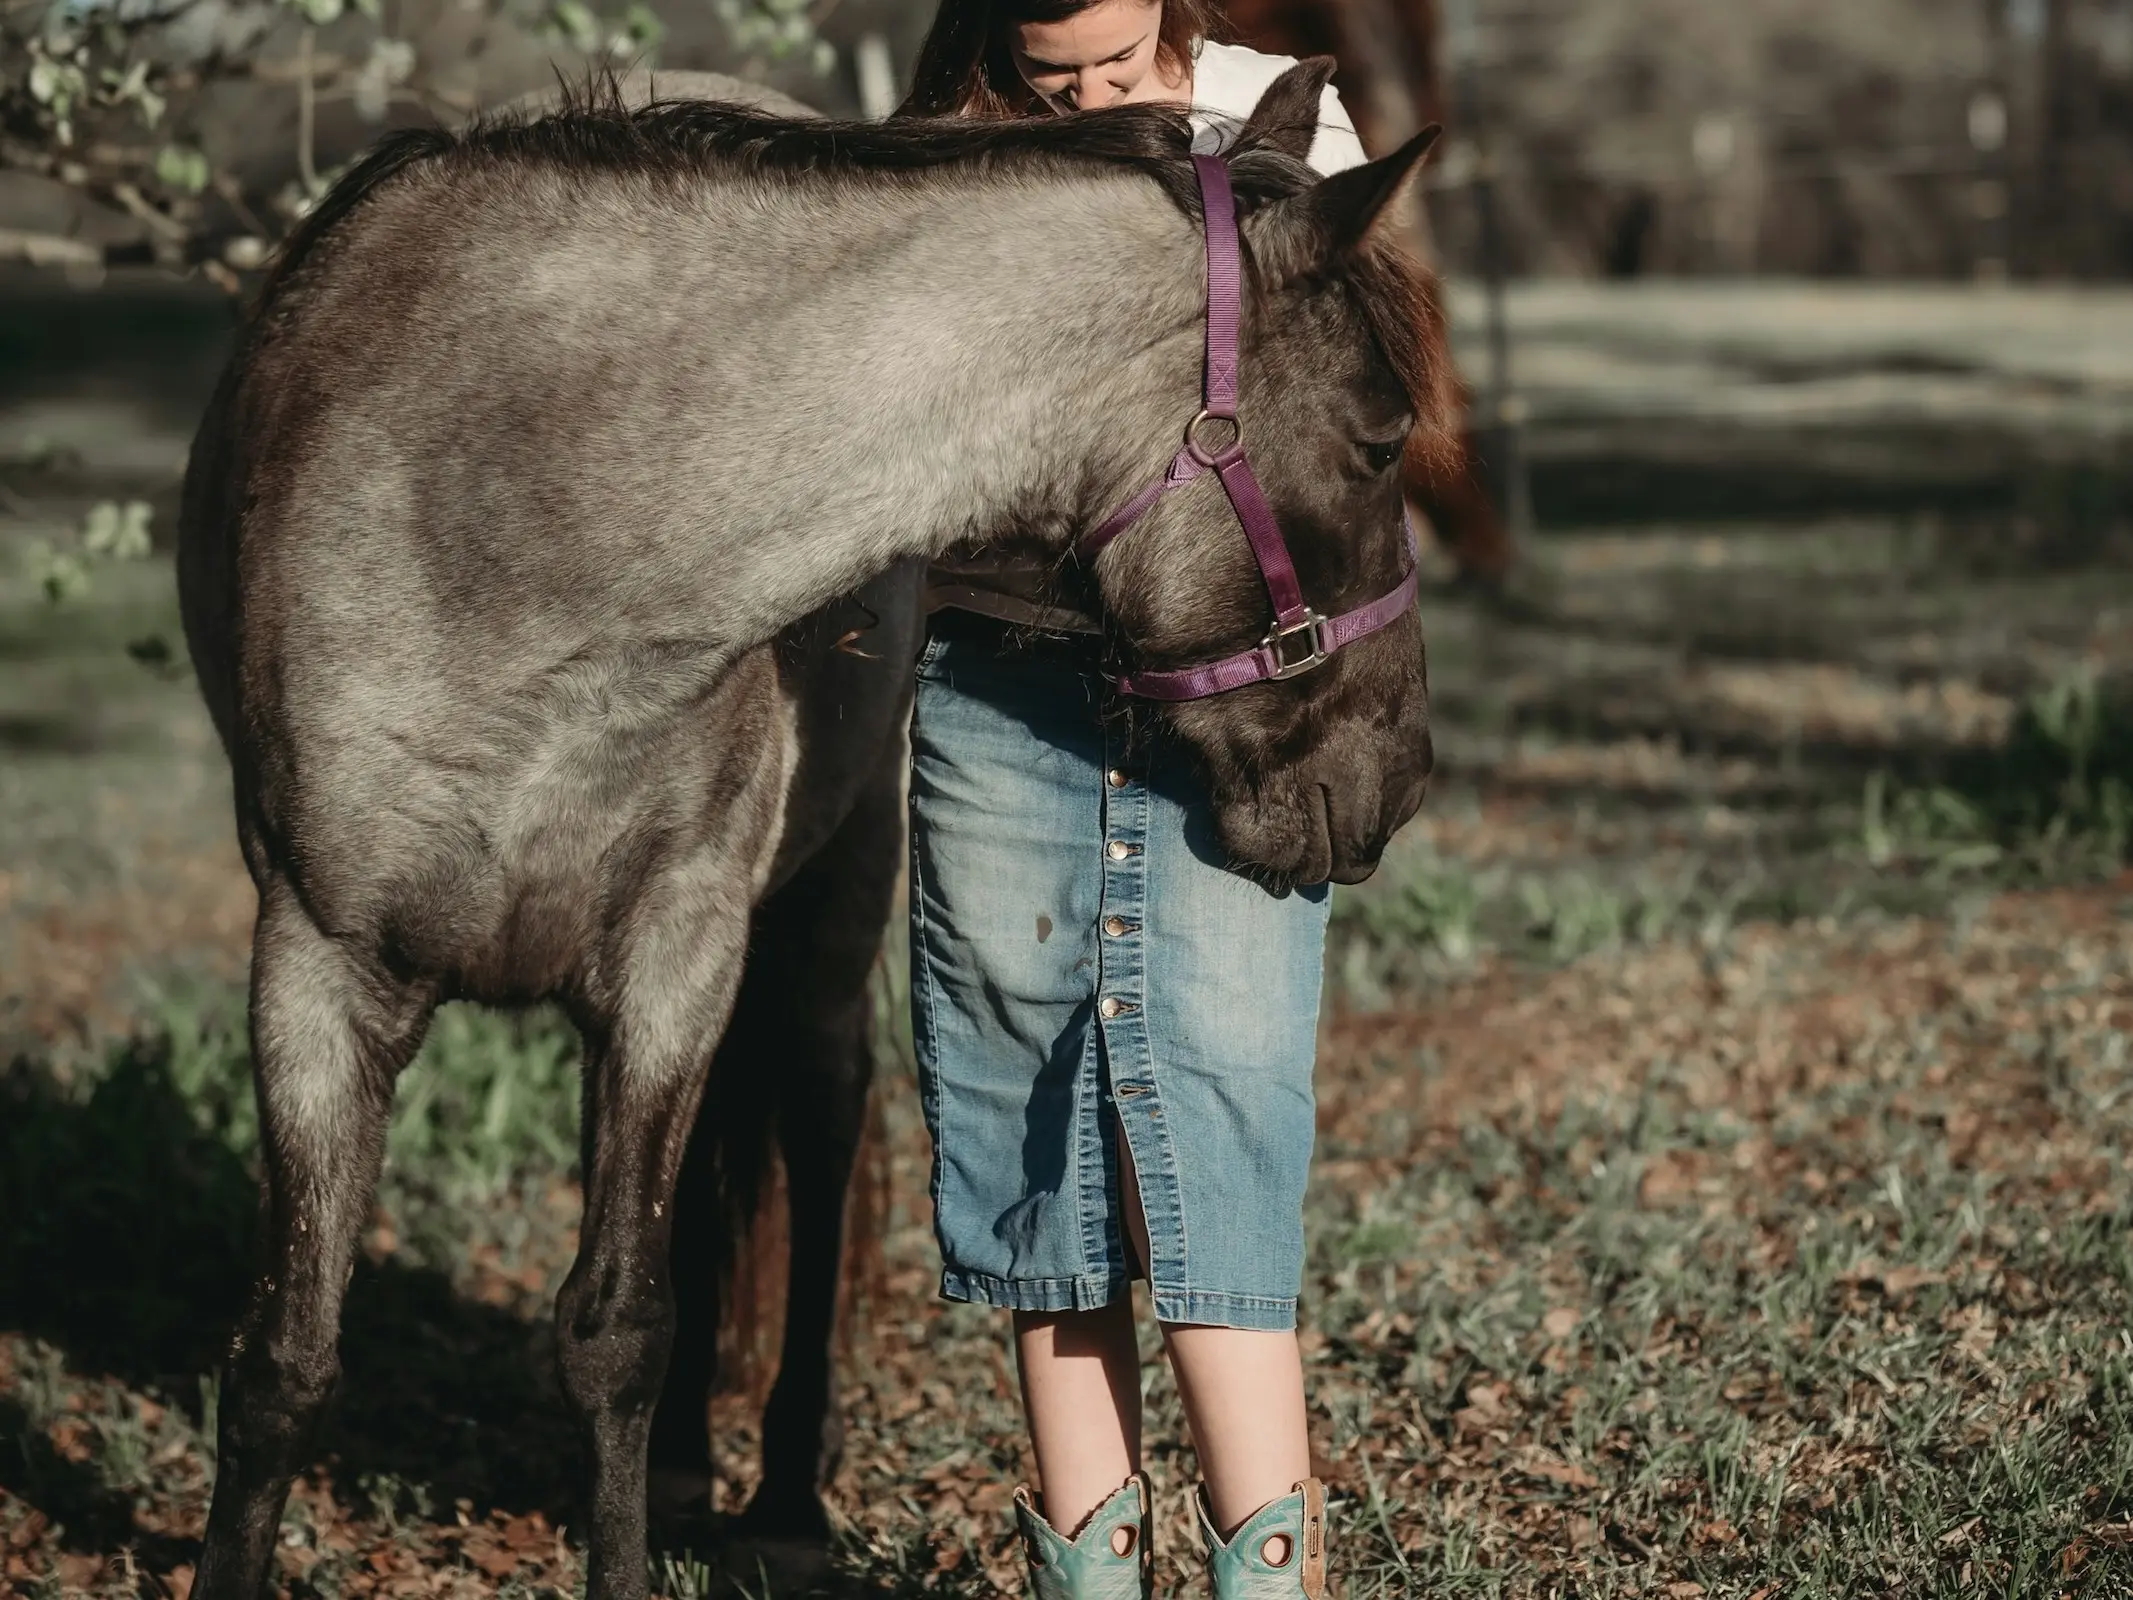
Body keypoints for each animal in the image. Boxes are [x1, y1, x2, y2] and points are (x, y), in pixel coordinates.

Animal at [179, 56, 1450, 1600]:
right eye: (1379, 440)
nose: (1399, 776)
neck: (508, 508)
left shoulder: (674, 954)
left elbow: (616, 1325)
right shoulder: (313, 964)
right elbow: (282, 1359)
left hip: (824, 912)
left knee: (817, 1127)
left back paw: (781, 1490)